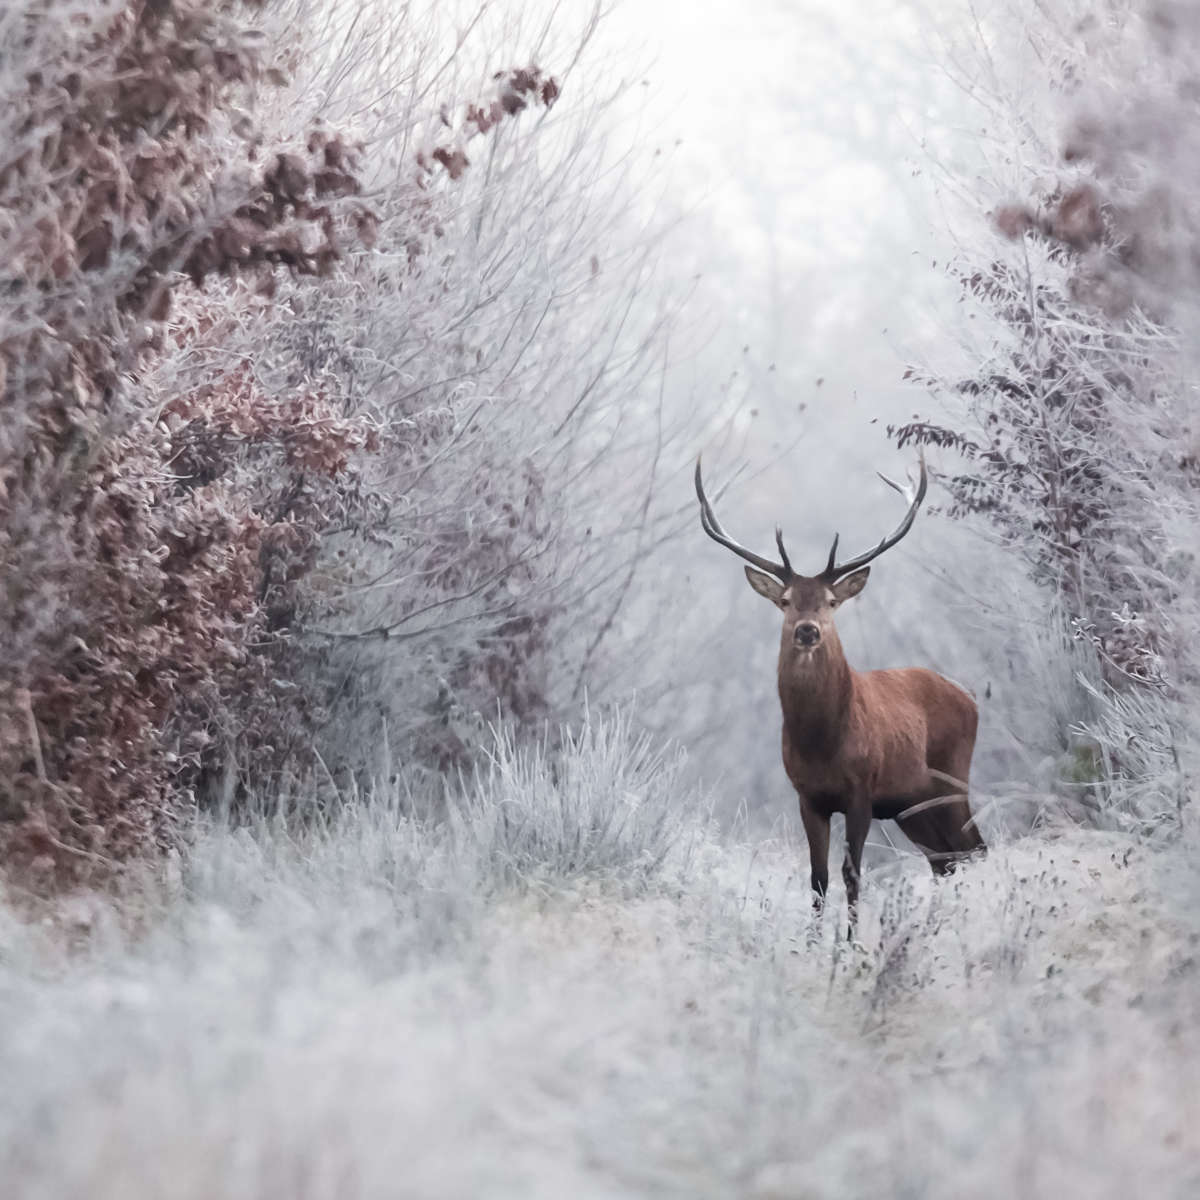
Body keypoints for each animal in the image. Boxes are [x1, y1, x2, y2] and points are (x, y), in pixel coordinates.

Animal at [694, 454, 985, 930]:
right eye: (786, 600)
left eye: (831, 601)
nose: (808, 630)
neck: (822, 742)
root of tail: (971, 699)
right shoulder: (807, 796)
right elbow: (818, 878)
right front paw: (812, 942)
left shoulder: (861, 790)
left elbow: (852, 874)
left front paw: (850, 944)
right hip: (912, 804)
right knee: (945, 860)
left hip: (953, 777)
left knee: (974, 848)